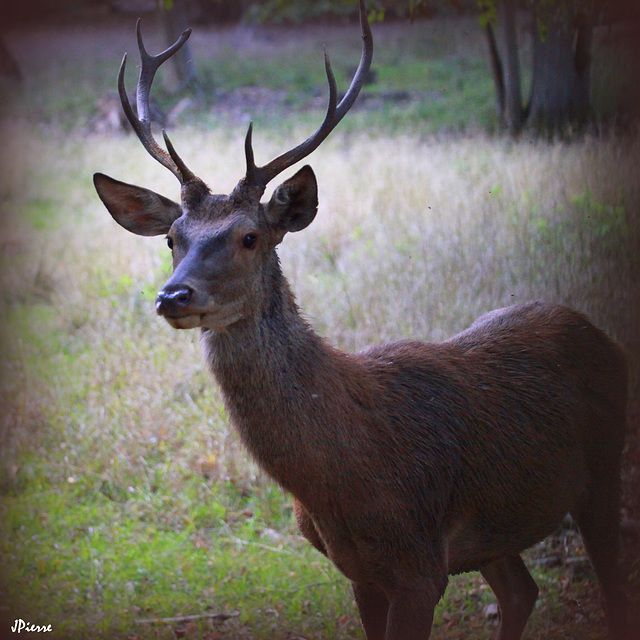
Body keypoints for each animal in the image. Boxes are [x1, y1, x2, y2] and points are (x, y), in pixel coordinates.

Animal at [92, 2, 632, 636]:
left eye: (250, 237)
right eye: (172, 238)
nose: (173, 296)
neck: (344, 474)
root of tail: (604, 337)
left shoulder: (420, 564)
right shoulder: (360, 570)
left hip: (604, 467)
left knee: (611, 587)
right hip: (497, 529)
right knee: (523, 590)